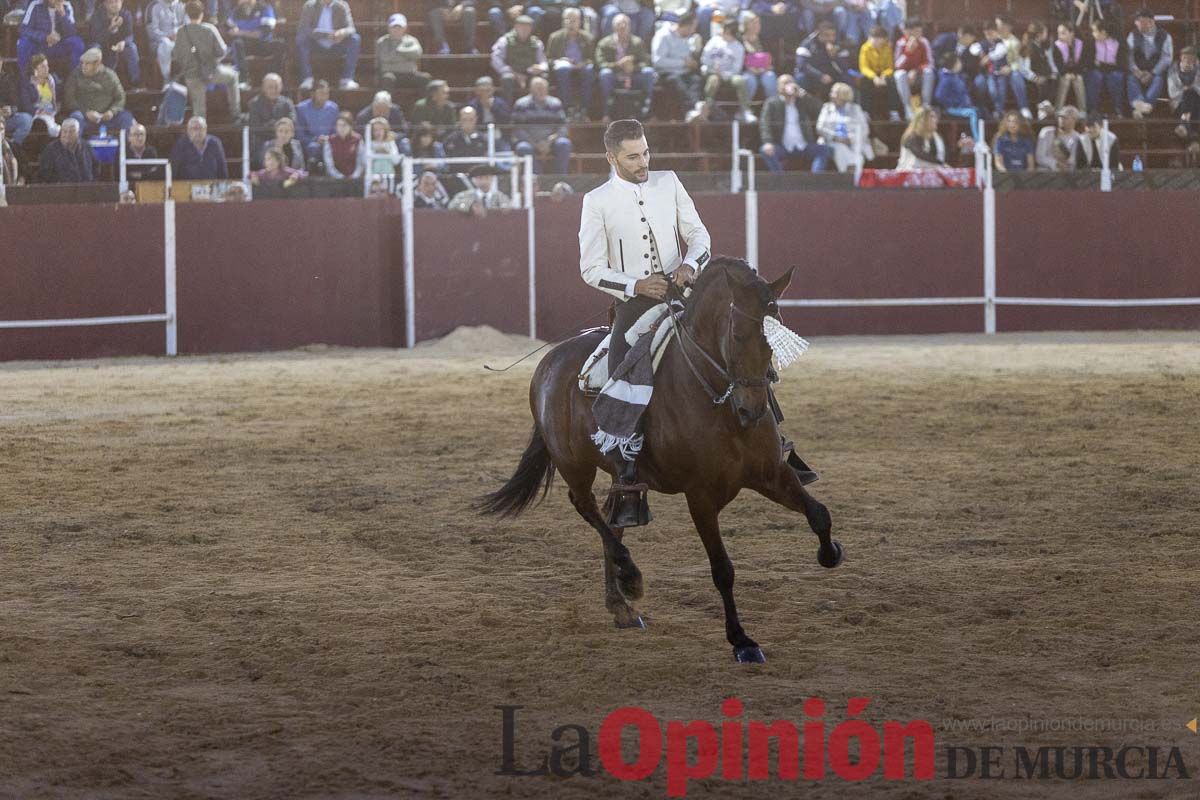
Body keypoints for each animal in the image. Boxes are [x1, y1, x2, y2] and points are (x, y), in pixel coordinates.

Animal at [477, 256, 844, 662]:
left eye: (774, 339)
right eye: (736, 336)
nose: (752, 411)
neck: (716, 400)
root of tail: (549, 361)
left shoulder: (771, 473)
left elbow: (819, 513)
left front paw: (830, 554)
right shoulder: (700, 497)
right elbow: (722, 569)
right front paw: (741, 640)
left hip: (619, 475)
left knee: (614, 517)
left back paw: (621, 605)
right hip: (573, 464)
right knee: (587, 508)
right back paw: (630, 577)